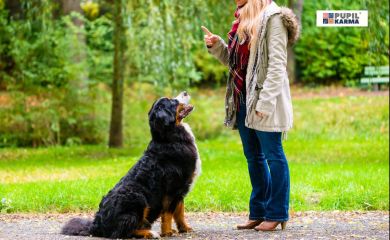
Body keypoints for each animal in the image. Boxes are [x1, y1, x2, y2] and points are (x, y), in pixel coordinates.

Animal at [61, 91, 201, 238]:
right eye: (172, 101)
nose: (185, 92)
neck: (169, 138)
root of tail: (96, 225)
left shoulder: (181, 189)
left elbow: (180, 212)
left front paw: (185, 228)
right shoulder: (173, 188)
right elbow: (168, 214)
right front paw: (167, 232)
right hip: (137, 197)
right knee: (123, 231)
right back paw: (150, 233)